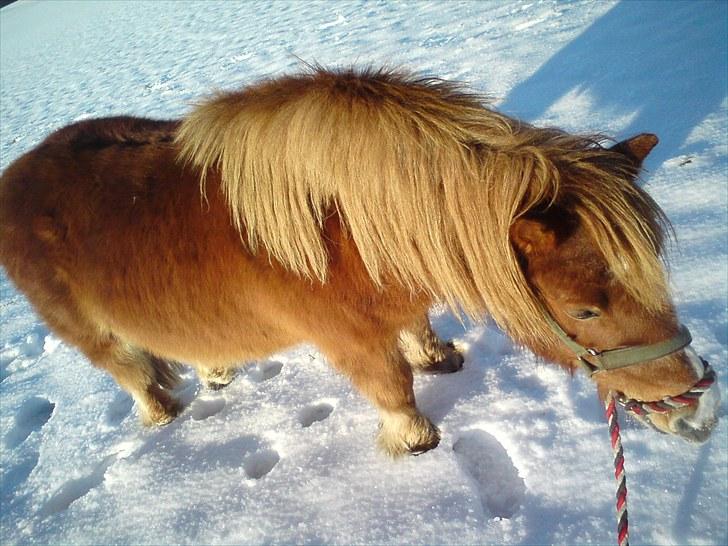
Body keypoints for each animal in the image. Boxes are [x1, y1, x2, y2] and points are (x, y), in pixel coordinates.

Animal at [0, 69, 716, 454]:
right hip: (96, 339)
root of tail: (18, 174)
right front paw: (415, 438)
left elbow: (418, 330)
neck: (342, 228)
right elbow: (391, 384)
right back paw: (162, 415)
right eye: (585, 310)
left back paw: (218, 371)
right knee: (131, 372)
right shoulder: (348, 339)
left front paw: (440, 359)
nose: (695, 410)